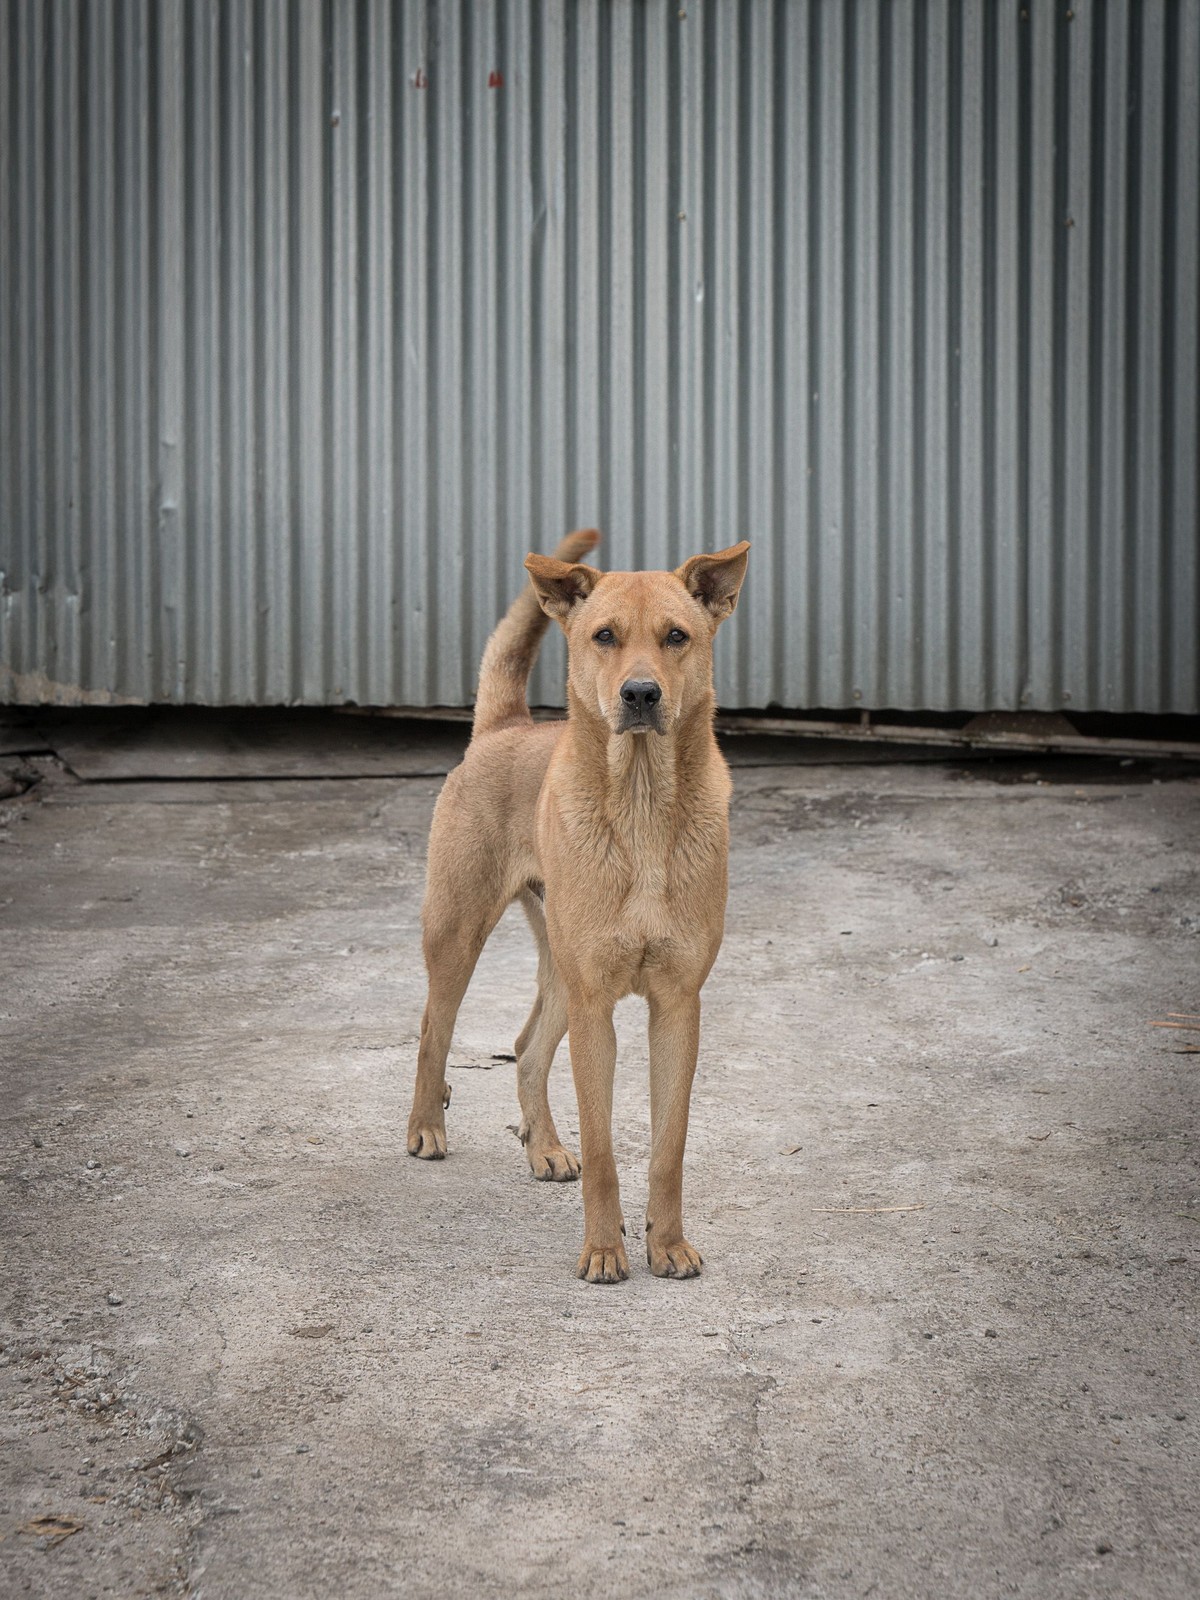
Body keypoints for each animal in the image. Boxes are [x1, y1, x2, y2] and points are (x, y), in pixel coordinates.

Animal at [406, 531, 752, 1280]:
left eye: (676, 636)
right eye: (604, 636)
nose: (641, 693)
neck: (643, 803)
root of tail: (502, 728)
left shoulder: (677, 1005)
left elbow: (668, 1148)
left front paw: (666, 1243)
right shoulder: (598, 1005)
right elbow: (604, 1150)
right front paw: (603, 1249)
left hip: (560, 970)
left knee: (526, 1050)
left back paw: (543, 1147)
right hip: (457, 934)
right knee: (432, 1031)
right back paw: (426, 1128)